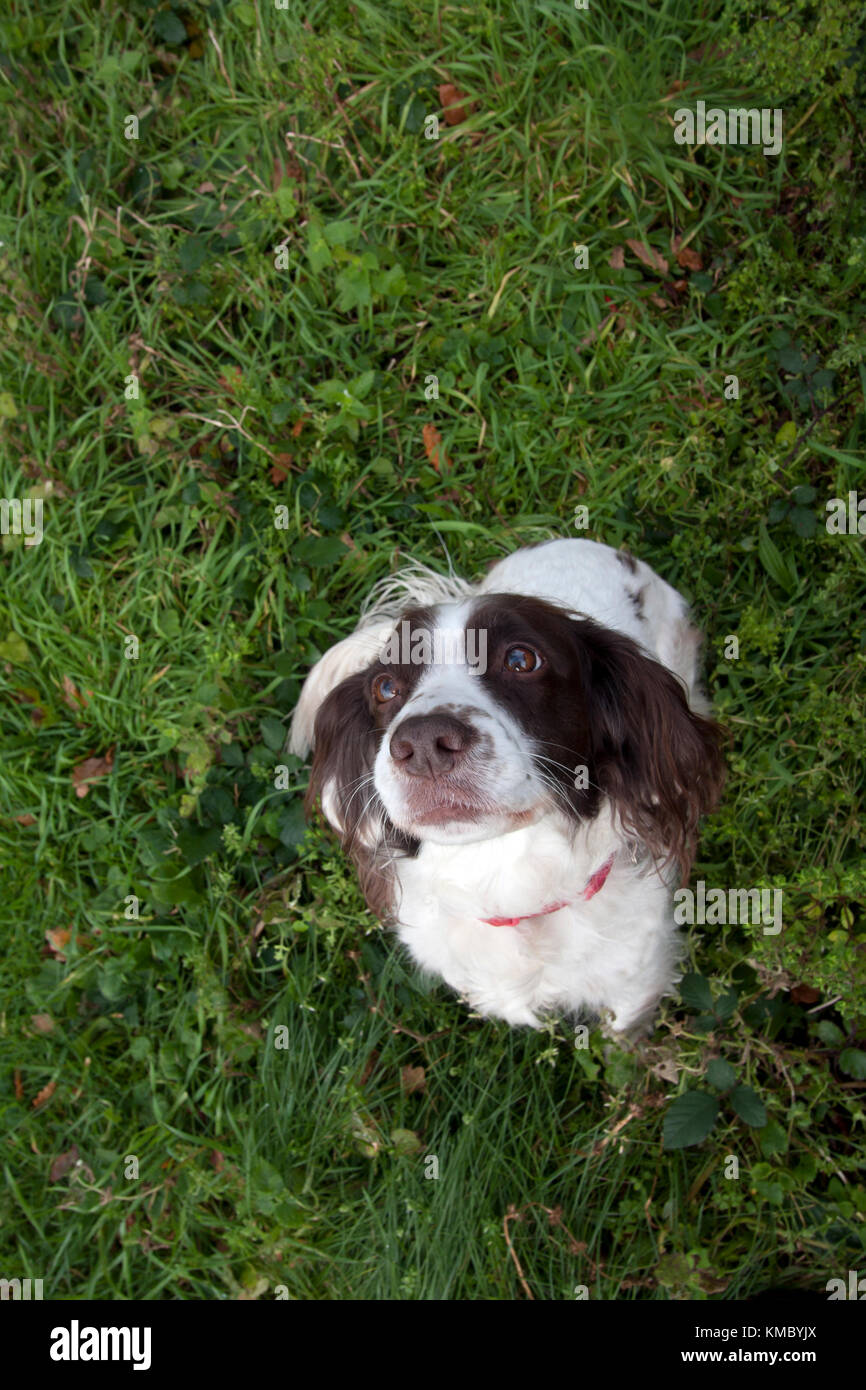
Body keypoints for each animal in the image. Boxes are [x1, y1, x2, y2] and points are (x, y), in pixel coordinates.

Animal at [291, 536, 722, 1039]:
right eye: (384, 687)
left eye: (521, 659)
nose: (423, 743)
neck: (507, 880)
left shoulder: (634, 979)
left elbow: (622, 1035)